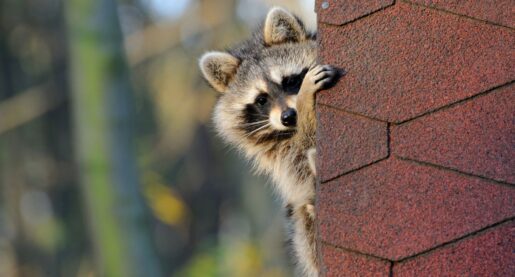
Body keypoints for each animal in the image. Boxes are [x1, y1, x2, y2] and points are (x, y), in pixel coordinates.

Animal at [200, 7, 340, 276]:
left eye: (290, 81)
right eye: (261, 100)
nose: (289, 116)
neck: (290, 131)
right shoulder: (280, 156)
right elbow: (299, 164)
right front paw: (306, 104)